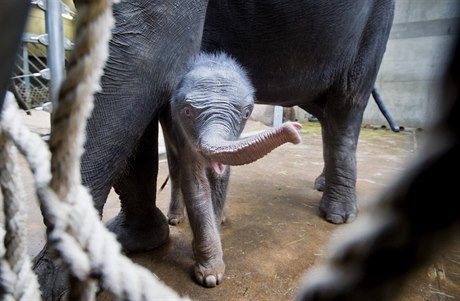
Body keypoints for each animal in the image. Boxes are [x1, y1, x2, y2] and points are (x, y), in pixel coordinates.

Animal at [162, 51, 302, 286]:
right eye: (187, 112)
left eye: (246, 114)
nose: (295, 128)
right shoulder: (180, 130)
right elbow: (196, 184)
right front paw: (210, 276)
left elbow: (221, 180)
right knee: (175, 168)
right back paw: (174, 218)